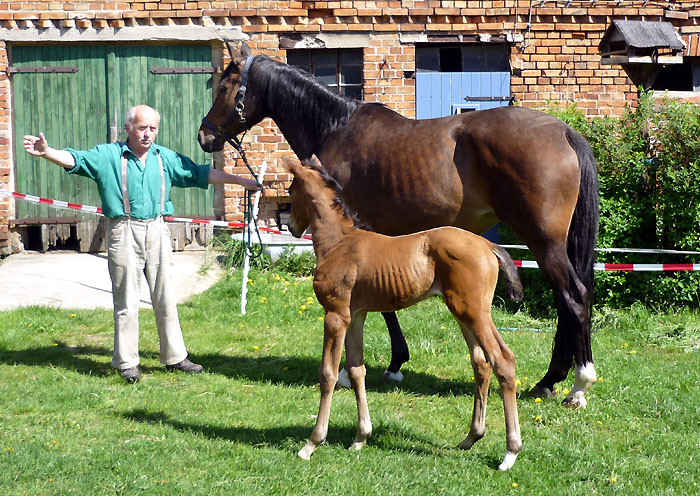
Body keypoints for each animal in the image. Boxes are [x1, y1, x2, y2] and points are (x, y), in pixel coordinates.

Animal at [198, 41, 600, 406]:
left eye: (225, 86)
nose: (204, 135)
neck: (335, 128)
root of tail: (565, 132)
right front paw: (394, 362)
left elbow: (382, 305)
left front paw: (380, 366)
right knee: (569, 301)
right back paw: (551, 381)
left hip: (543, 241)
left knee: (574, 298)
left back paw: (576, 386)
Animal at [284, 157, 524, 470]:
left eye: (290, 191)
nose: (290, 226)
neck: (339, 242)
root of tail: (488, 244)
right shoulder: (356, 316)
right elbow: (357, 370)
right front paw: (360, 438)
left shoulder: (335, 315)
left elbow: (328, 374)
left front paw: (311, 444)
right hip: (465, 313)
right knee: (481, 362)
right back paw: (471, 437)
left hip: (473, 312)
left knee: (502, 361)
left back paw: (510, 453)